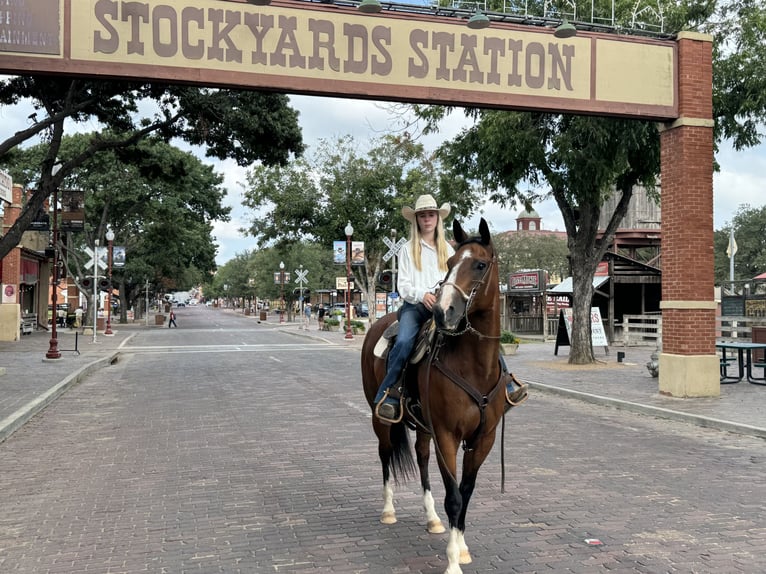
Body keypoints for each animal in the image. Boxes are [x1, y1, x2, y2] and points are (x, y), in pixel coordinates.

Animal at [362, 218, 516, 572]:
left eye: (480, 264)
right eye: (451, 263)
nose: (444, 311)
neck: (474, 367)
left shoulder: (483, 438)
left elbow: (466, 492)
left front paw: (461, 547)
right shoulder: (447, 434)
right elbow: (454, 497)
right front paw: (453, 562)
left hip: (424, 426)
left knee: (420, 458)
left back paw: (431, 518)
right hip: (381, 419)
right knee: (385, 454)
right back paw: (388, 511)